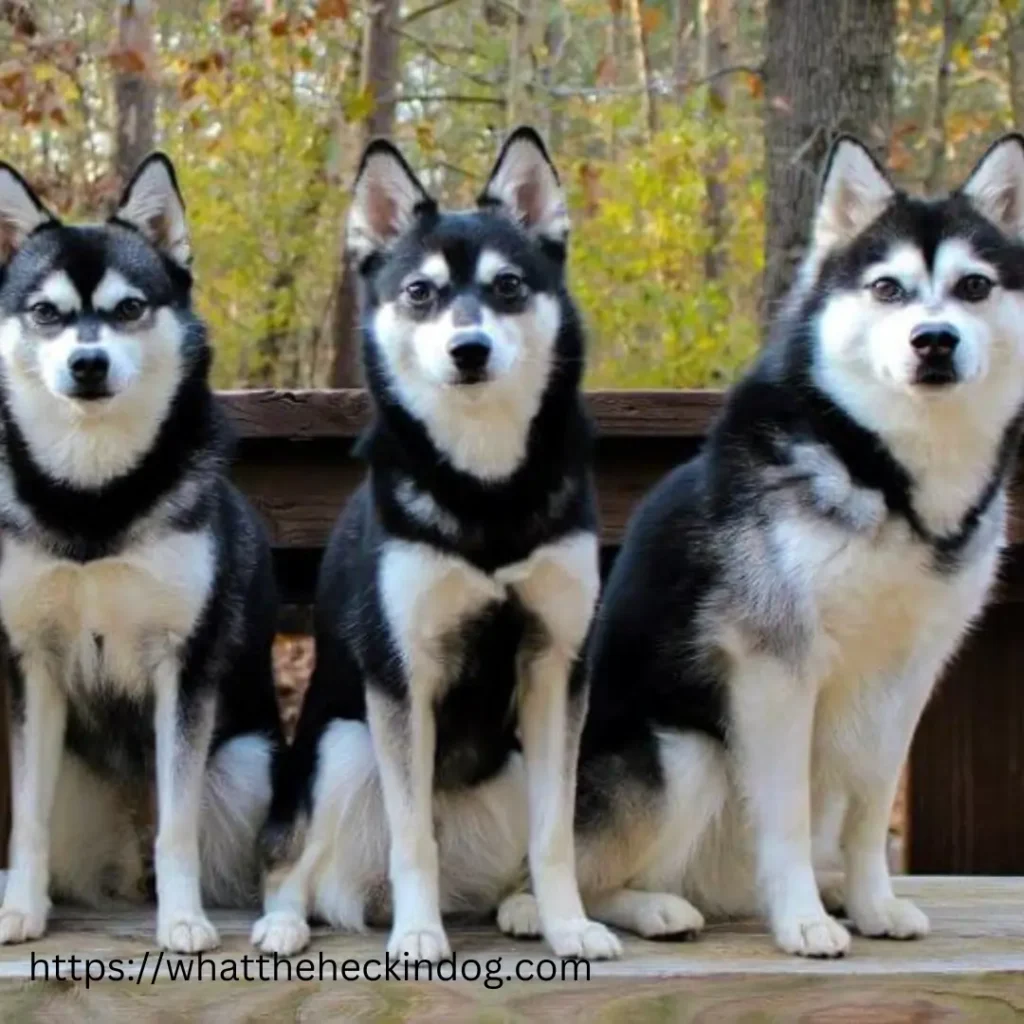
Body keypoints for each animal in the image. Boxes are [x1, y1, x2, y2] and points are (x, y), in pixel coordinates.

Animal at [0, 155, 282, 954]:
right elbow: (26, 820)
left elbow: (177, 827)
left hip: (245, 763)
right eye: (47, 313)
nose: (88, 364)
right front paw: (21, 909)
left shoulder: (183, 669)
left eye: (129, 309)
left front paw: (183, 919)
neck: (97, 499)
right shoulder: (32, 664)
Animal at [253, 128, 622, 958]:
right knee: (290, 865)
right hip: (341, 745)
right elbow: (411, 833)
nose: (470, 349)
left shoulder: (557, 664)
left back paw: (524, 908)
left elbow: (556, 834)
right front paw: (419, 935)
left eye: (509, 286)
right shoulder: (402, 676)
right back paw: (285, 922)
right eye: (420, 293)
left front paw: (569, 924)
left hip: (511, 759)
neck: (485, 485)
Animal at [491, 132, 1024, 954]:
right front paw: (802, 918)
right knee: (558, 879)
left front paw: (871, 901)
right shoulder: (774, 667)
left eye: (973, 287)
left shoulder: (908, 675)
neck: (883, 475)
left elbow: (871, 808)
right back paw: (636, 909)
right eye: (888, 289)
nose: (934, 341)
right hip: (684, 751)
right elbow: (789, 814)